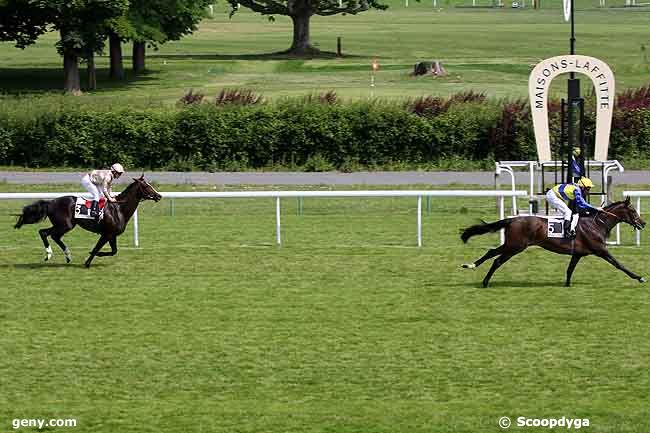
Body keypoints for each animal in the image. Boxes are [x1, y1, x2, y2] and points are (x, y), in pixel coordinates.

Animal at [13, 175, 161, 266]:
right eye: (146, 186)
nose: (159, 196)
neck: (119, 208)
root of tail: (51, 203)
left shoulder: (111, 235)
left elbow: (114, 251)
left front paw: (90, 259)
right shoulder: (106, 234)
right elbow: (96, 249)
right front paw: (87, 262)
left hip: (65, 225)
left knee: (54, 236)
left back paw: (68, 255)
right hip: (64, 225)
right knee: (44, 232)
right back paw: (49, 254)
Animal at [458, 197, 644, 286]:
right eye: (633, 211)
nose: (643, 223)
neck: (597, 223)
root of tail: (512, 220)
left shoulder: (578, 253)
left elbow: (569, 269)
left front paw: (567, 284)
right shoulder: (601, 250)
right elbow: (619, 265)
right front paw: (639, 277)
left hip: (511, 244)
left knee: (491, 252)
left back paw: (471, 266)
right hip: (515, 246)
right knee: (497, 260)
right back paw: (485, 282)